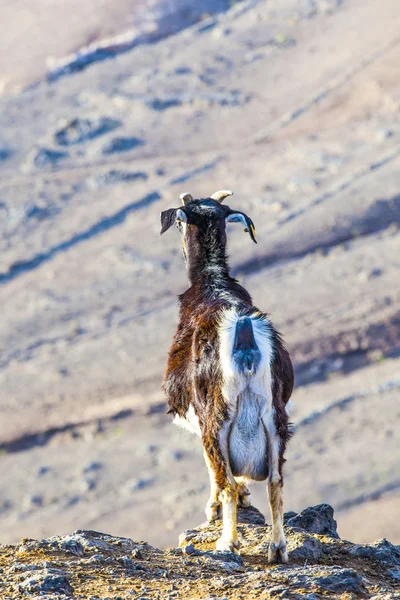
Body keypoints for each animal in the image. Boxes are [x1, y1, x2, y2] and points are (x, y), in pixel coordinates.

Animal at [159, 189, 294, 564]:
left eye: (180, 223)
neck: (212, 283)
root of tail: (244, 334)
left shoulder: (199, 418)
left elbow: (215, 473)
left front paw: (213, 511)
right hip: (274, 418)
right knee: (275, 481)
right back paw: (277, 548)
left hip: (217, 417)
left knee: (227, 478)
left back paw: (227, 543)